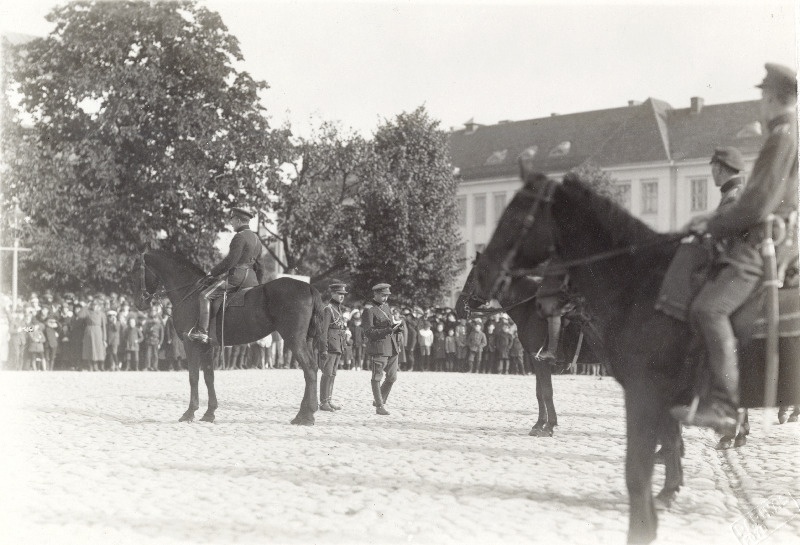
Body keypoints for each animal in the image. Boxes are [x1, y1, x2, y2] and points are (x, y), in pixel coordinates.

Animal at [138, 251, 324, 424]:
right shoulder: (206, 346)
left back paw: (307, 415)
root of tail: (309, 287)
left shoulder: (191, 345)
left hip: (294, 339)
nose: (141, 302)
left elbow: (193, 377)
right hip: (305, 340)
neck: (189, 293)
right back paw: (302, 414)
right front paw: (209, 413)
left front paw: (189, 412)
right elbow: (209, 377)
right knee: (311, 369)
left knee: (309, 369)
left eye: (138, 269)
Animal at [454, 262, 684, 508]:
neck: (529, 309)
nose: (458, 309)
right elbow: (539, 393)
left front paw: (548, 426)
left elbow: (546, 392)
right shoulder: (535, 361)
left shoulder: (539, 360)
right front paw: (540, 424)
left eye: (473, 276)